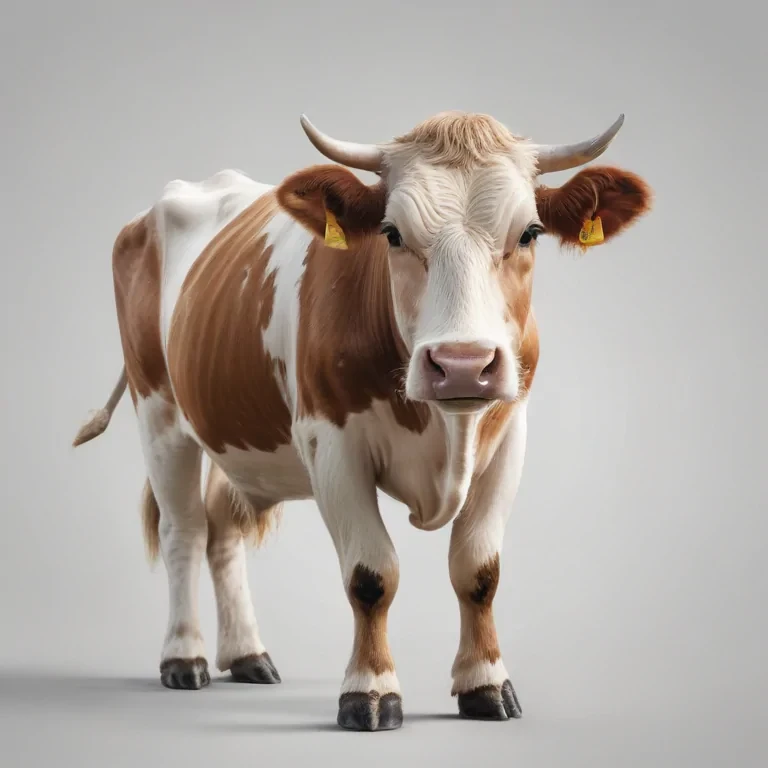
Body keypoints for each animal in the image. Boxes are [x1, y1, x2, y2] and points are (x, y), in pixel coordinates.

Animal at [73, 110, 651, 731]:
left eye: (530, 233)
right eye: (392, 234)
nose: (462, 365)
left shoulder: (510, 438)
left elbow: (478, 571)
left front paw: (486, 684)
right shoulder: (332, 447)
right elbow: (371, 576)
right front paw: (369, 690)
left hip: (234, 433)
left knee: (222, 531)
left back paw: (248, 655)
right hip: (157, 410)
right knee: (184, 530)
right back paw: (185, 657)